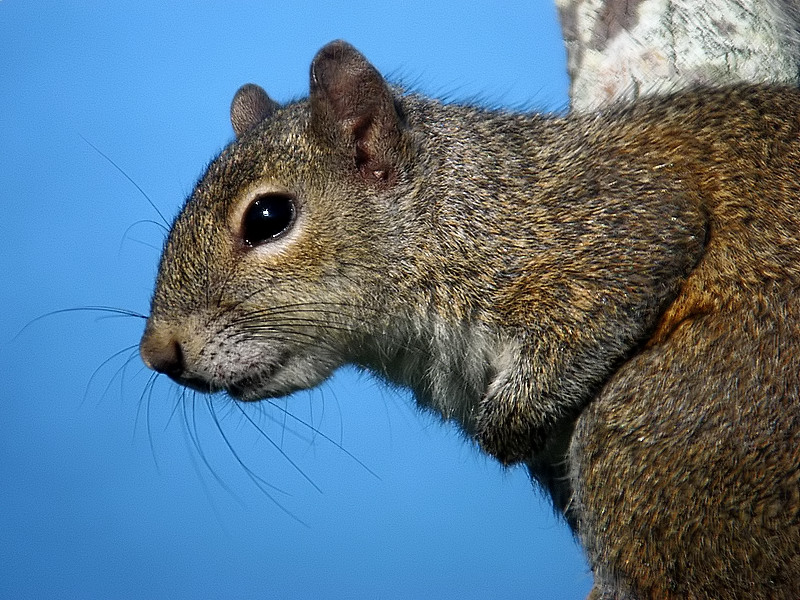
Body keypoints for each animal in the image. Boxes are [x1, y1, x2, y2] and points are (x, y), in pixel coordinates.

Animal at [139, 40, 800, 598]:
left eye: (268, 216)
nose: (158, 354)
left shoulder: (606, 222)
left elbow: (633, 267)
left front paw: (506, 423)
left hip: (678, 433)